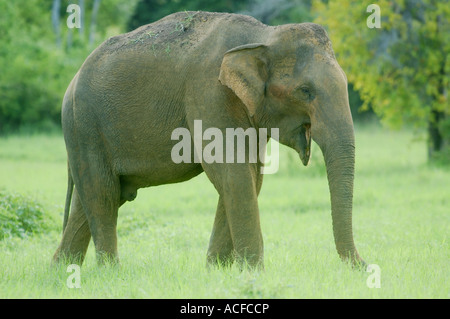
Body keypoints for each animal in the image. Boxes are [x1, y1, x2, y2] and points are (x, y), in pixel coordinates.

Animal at [51, 10, 366, 270]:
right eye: (305, 91)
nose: (363, 265)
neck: (263, 35)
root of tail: (72, 81)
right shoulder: (208, 93)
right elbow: (232, 172)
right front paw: (253, 273)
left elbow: (251, 175)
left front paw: (218, 271)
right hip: (84, 125)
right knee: (101, 192)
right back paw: (110, 272)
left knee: (94, 197)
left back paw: (61, 271)